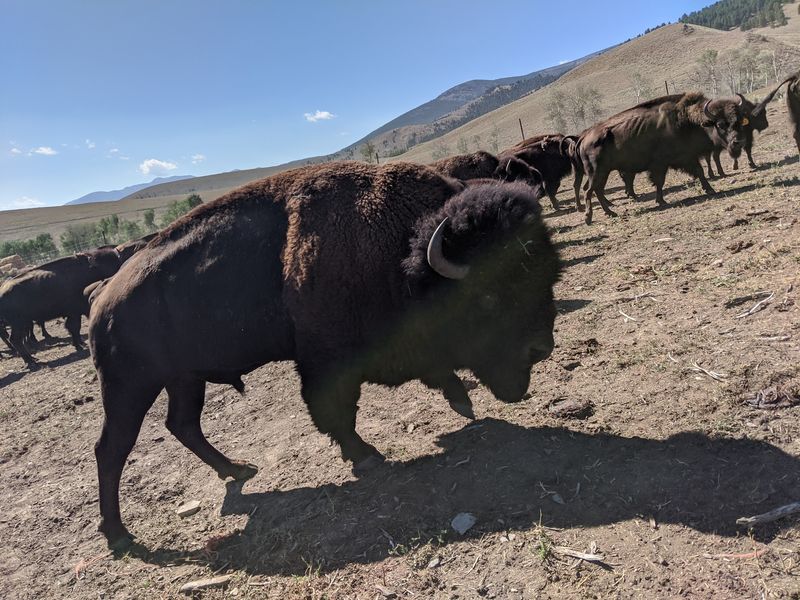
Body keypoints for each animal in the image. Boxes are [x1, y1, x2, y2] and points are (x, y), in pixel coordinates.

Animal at [89, 161, 561, 549]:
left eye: (547, 276)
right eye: (487, 297)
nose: (541, 348)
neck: (402, 248)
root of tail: (102, 300)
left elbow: (433, 370)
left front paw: (461, 402)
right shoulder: (327, 363)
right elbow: (336, 411)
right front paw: (366, 455)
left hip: (185, 380)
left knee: (183, 424)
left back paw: (238, 470)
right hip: (129, 388)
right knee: (111, 449)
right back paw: (119, 535)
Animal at [576, 93, 749, 224]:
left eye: (738, 121)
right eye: (720, 125)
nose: (738, 142)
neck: (687, 121)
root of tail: (583, 138)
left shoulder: (687, 157)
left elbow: (699, 171)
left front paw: (710, 190)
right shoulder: (660, 164)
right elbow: (660, 182)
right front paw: (661, 201)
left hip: (602, 173)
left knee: (597, 190)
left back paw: (610, 212)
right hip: (597, 172)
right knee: (589, 191)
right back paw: (589, 218)